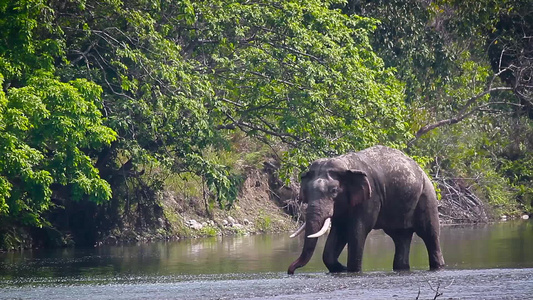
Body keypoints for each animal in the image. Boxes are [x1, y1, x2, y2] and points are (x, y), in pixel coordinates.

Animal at [286, 145, 444, 274]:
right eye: (306, 192)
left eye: (334, 191)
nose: (290, 271)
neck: (344, 165)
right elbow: (339, 231)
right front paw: (342, 269)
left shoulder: (371, 196)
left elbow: (358, 230)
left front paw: (351, 270)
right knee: (401, 237)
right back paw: (402, 268)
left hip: (427, 195)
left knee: (429, 234)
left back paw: (438, 266)